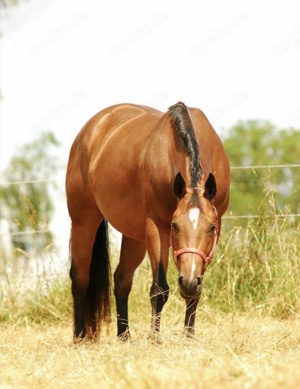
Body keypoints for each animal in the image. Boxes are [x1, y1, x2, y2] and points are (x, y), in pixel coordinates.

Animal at [65, 102, 230, 340]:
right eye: (174, 226)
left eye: (211, 227)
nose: (188, 281)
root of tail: (90, 130)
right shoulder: (157, 226)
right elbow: (159, 288)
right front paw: (154, 337)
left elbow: (195, 292)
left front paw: (189, 336)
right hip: (83, 220)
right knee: (80, 277)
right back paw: (80, 336)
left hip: (134, 235)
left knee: (122, 280)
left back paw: (124, 336)